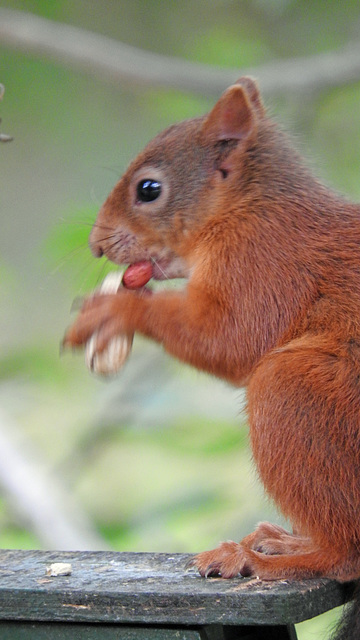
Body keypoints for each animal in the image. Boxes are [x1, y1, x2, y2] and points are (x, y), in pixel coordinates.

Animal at [63, 76, 360, 600]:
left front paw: (117, 310)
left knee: (347, 556)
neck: (246, 207)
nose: (97, 245)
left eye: (148, 189)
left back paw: (263, 559)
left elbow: (232, 338)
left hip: (293, 395)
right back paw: (285, 541)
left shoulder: (263, 263)